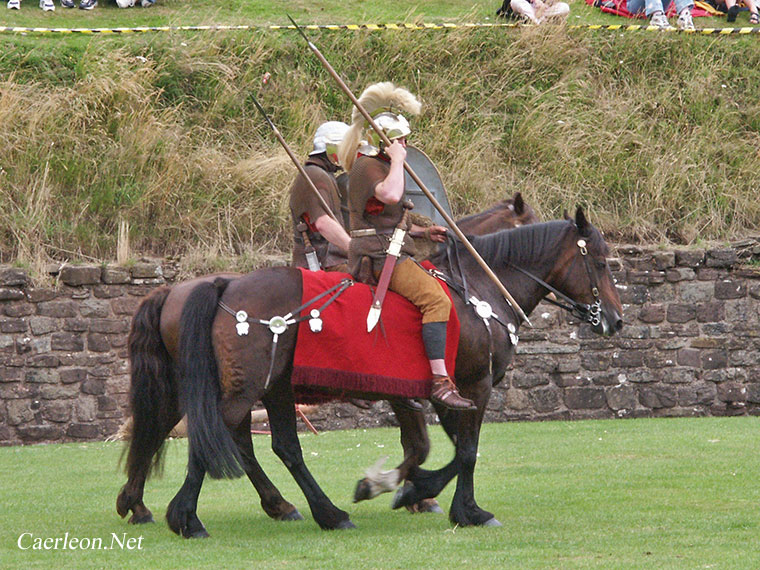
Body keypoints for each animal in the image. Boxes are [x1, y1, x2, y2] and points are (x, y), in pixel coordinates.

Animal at [131, 207, 624, 532]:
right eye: (600, 262)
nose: (616, 321)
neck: (478, 288)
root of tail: (221, 285)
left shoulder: (437, 392)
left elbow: (438, 448)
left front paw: (407, 489)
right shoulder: (472, 385)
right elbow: (463, 451)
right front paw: (462, 509)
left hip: (270, 388)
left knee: (276, 446)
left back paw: (320, 512)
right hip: (244, 388)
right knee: (210, 435)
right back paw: (184, 517)